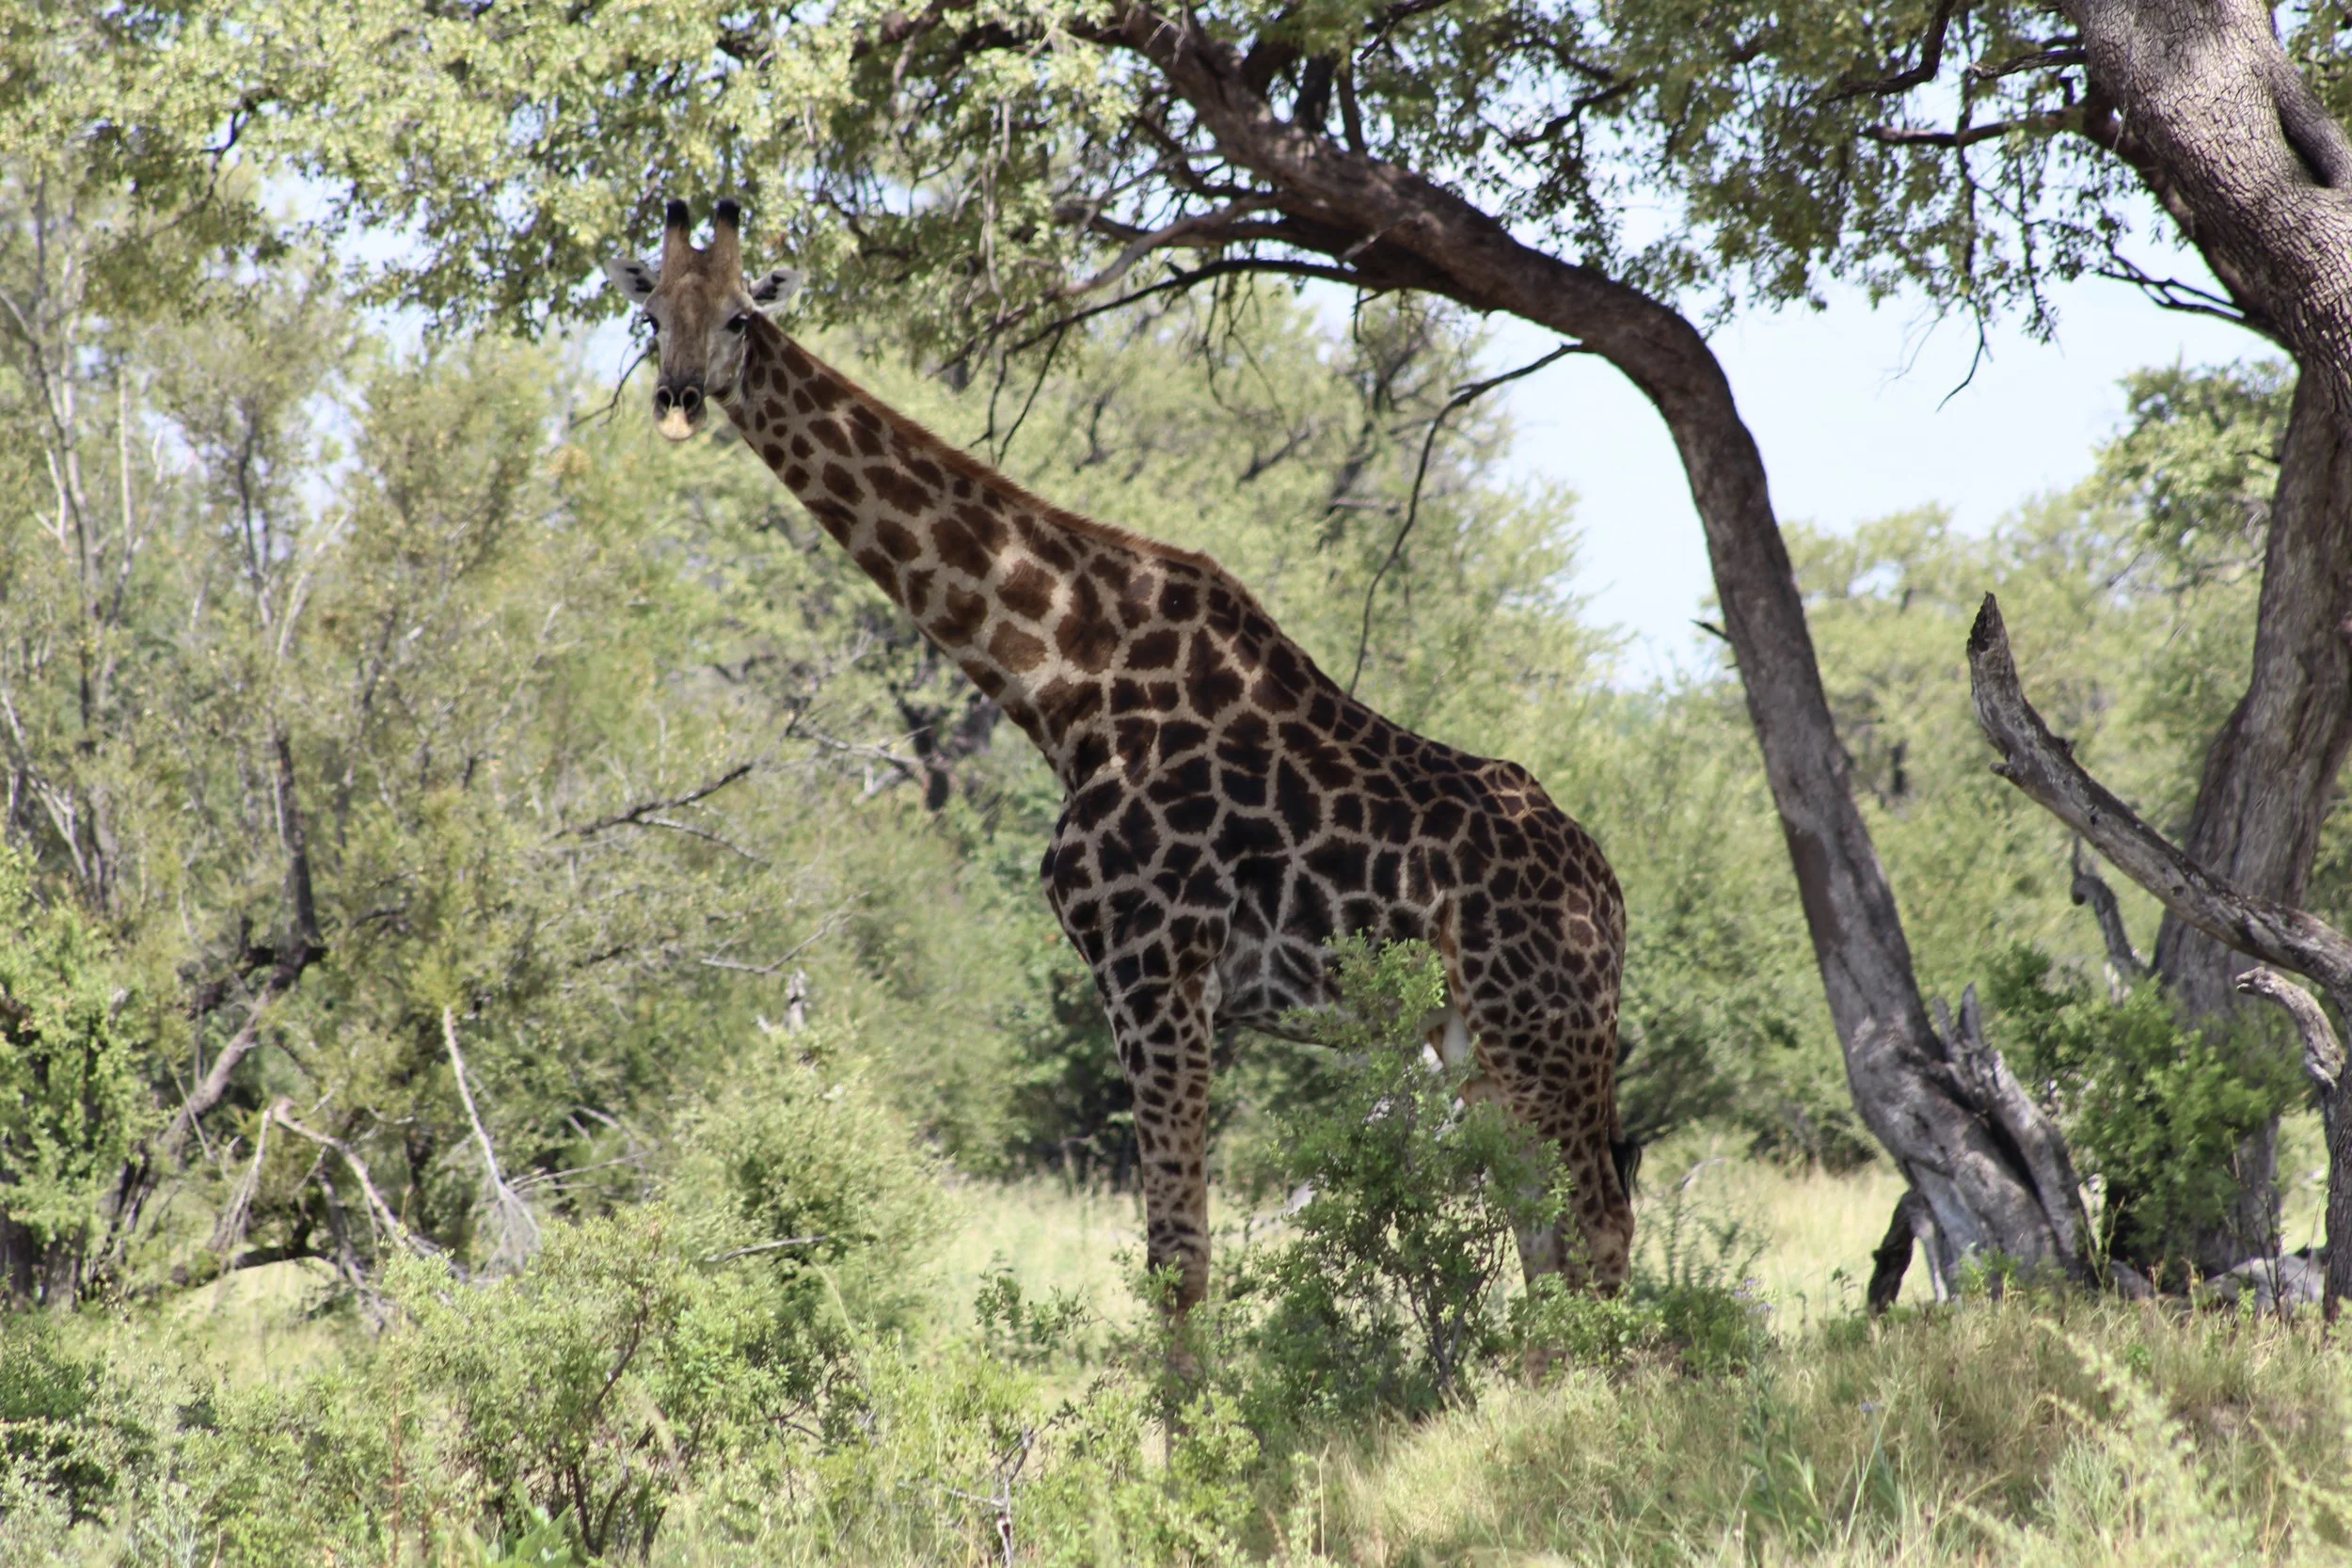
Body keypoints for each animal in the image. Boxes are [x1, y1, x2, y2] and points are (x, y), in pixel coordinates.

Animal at [607, 199, 1635, 1318]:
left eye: (742, 317)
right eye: (650, 315)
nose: (678, 398)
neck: (1062, 682)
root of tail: (1613, 900)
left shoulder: (1155, 964)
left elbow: (1177, 1253)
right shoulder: (1146, 977)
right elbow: (1174, 1249)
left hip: (1541, 1028)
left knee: (1599, 1227)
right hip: (1476, 1044)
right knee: (1547, 1235)